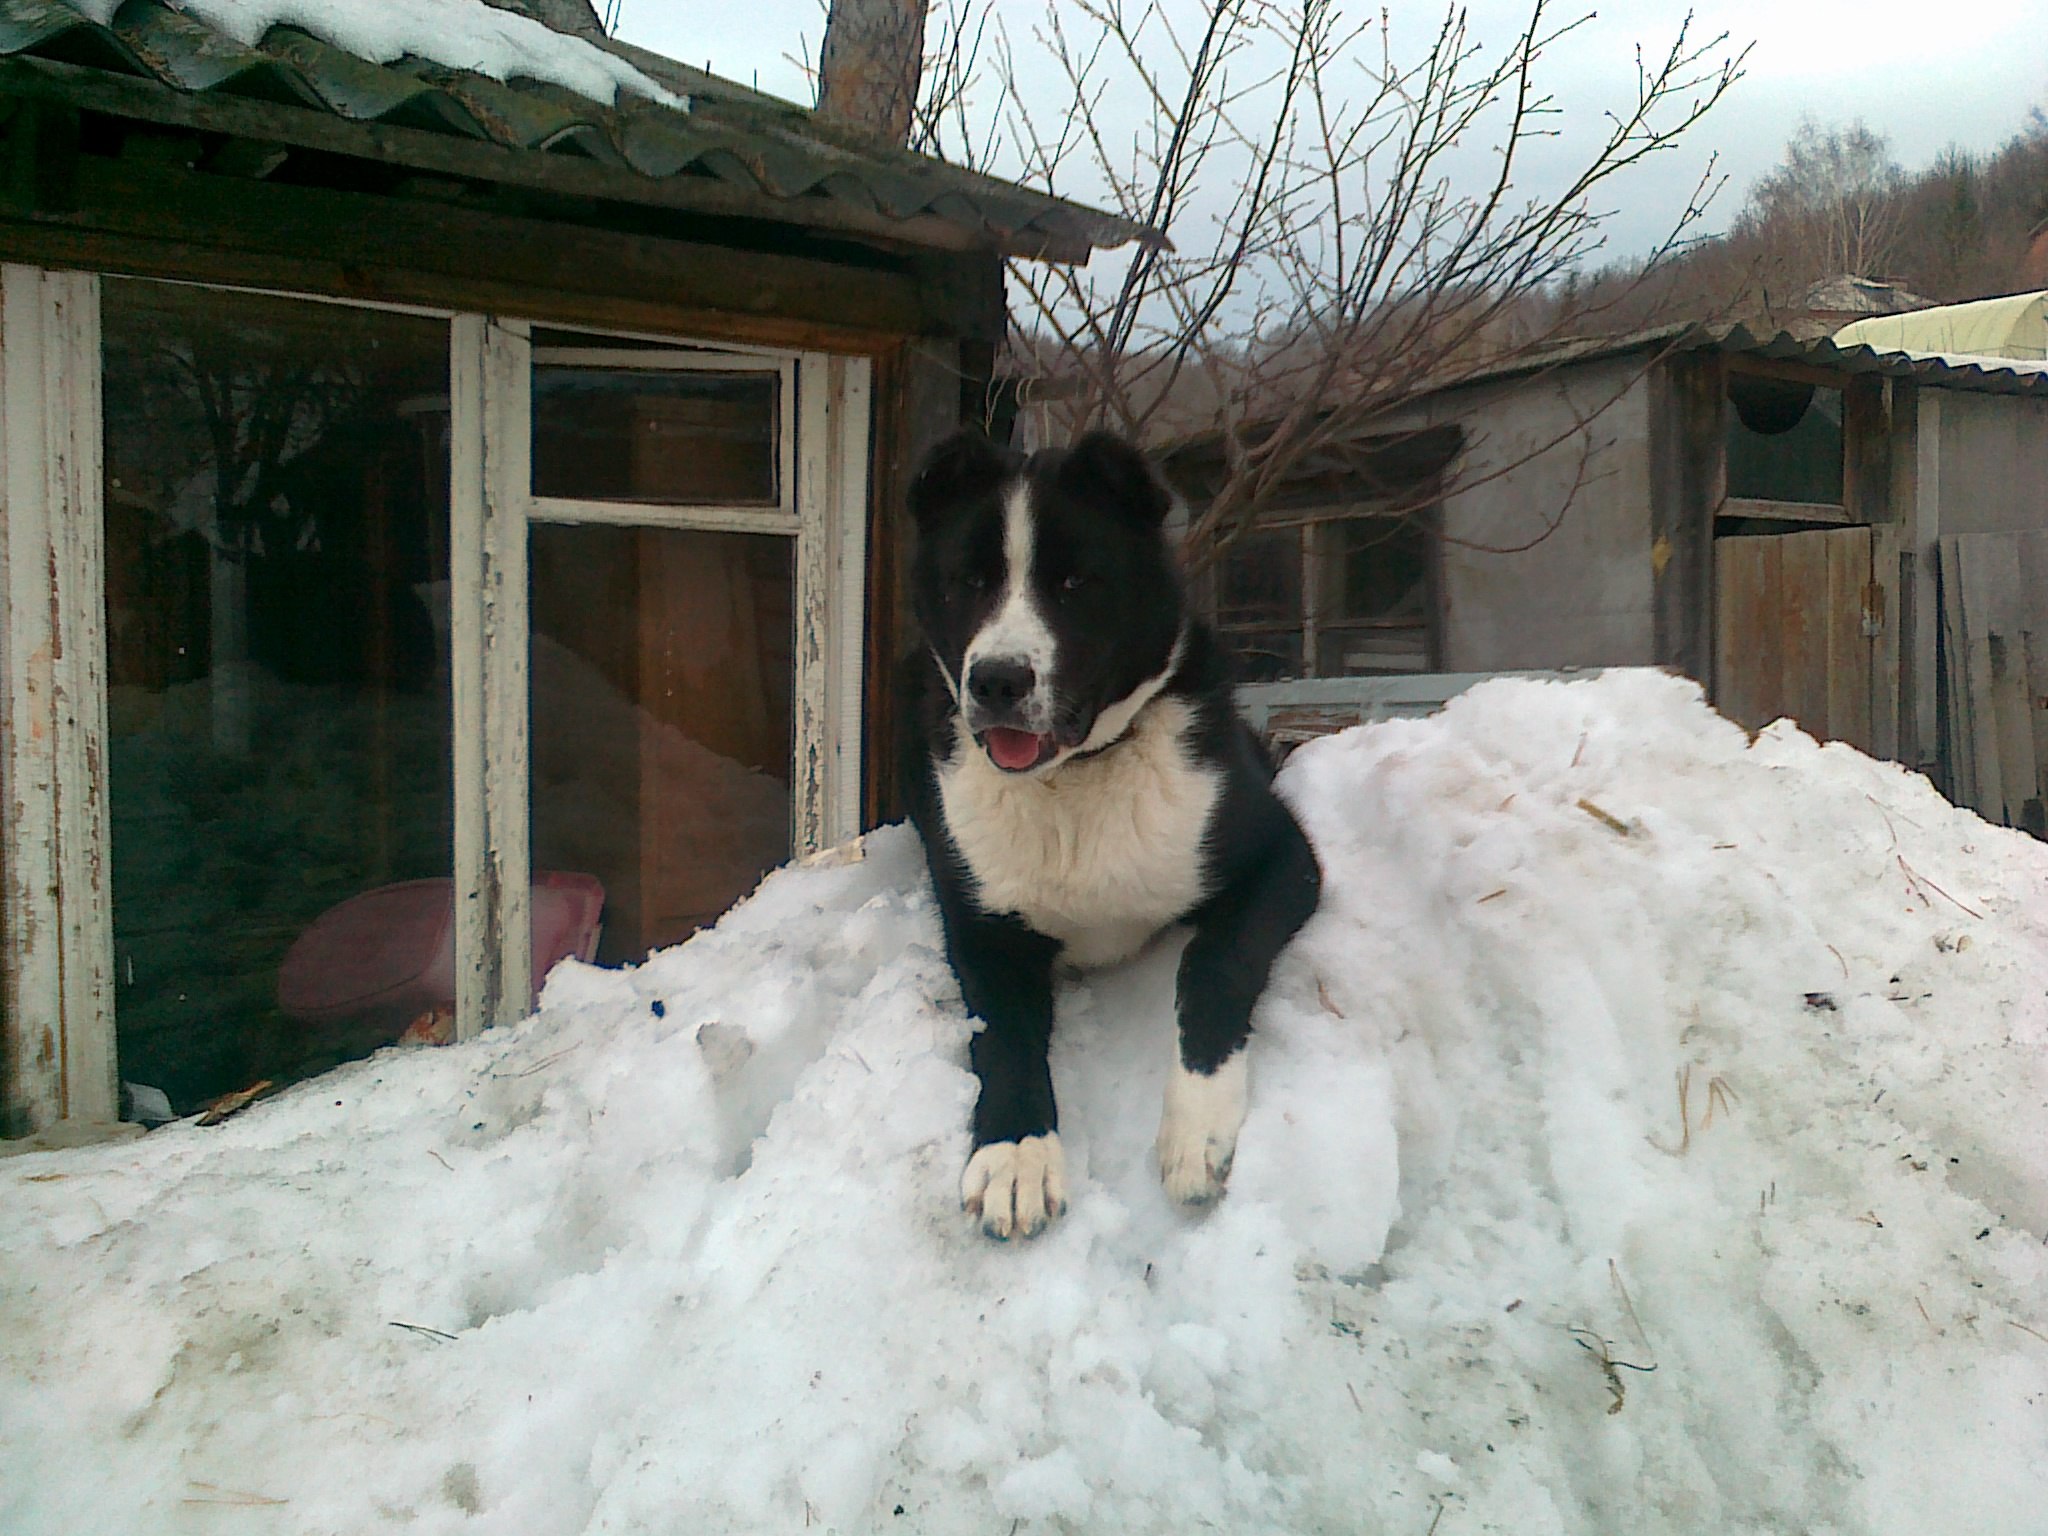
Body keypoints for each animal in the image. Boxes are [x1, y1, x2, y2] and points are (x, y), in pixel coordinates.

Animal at [900, 429, 1322, 1239]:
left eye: (1075, 582)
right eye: (969, 580)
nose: (996, 681)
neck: (1074, 780)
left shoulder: (1285, 857)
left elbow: (1214, 963)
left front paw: (1196, 1130)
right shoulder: (980, 924)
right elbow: (1003, 1035)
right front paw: (1016, 1157)